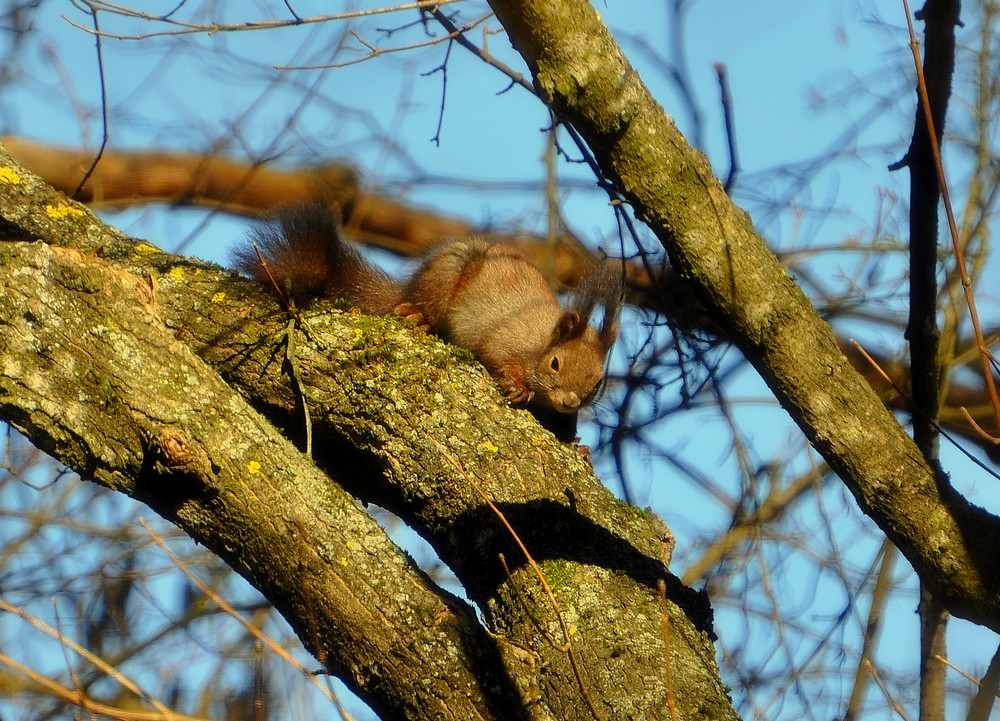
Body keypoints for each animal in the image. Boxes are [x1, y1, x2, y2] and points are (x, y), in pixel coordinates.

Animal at [235, 201, 624, 416]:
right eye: (556, 363)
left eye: (597, 383)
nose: (570, 401)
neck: (544, 339)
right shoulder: (510, 337)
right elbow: (496, 352)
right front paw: (518, 386)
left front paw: (578, 445)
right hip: (445, 278)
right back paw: (418, 315)